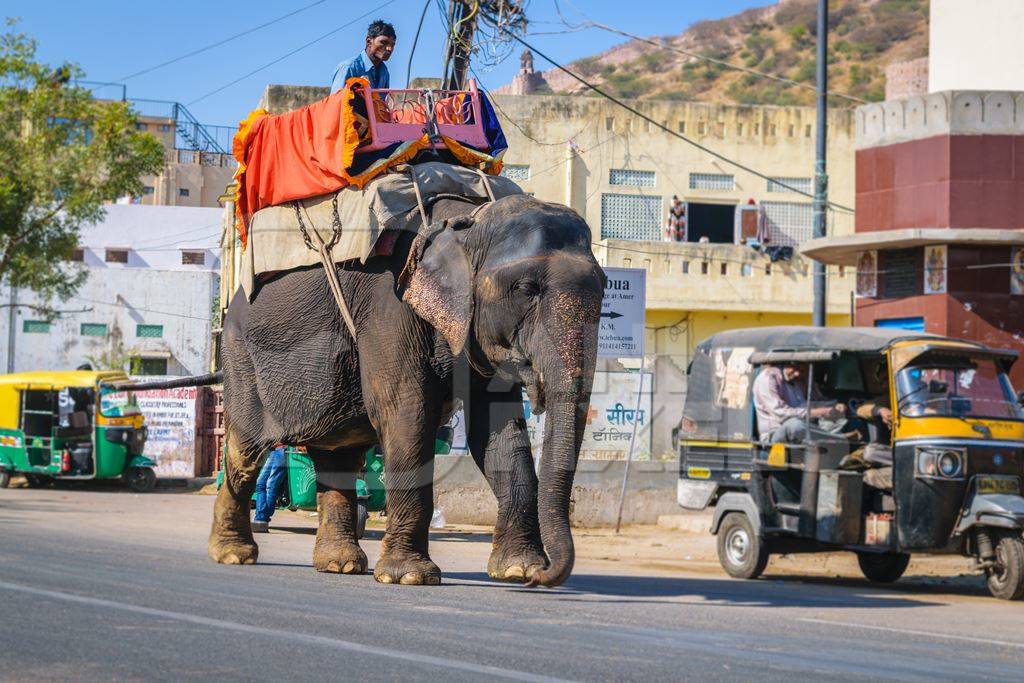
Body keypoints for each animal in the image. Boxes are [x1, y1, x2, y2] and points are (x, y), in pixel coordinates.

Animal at [210, 192, 602, 589]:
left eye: (604, 291)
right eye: (525, 290)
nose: (541, 577)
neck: (469, 221)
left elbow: (497, 429)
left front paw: (516, 569)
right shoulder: (390, 308)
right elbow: (406, 413)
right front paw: (410, 576)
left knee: (336, 454)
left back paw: (340, 564)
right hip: (241, 358)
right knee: (245, 451)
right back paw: (233, 554)